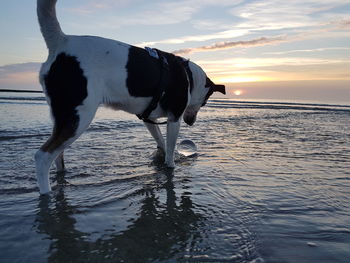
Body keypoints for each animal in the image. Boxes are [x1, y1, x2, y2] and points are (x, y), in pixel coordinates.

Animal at [35, 0, 226, 194]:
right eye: (204, 103)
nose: (191, 122)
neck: (189, 75)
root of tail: (61, 41)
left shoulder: (148, 117)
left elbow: (160, 141)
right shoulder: (174, 118)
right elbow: (170, 149)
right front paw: (171, 166)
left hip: (63, 116)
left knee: (58, 155)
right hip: (79, 116)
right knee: (42, 157)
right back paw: (46, 192)